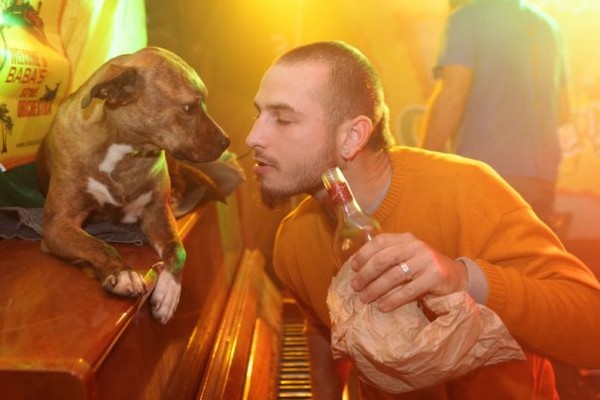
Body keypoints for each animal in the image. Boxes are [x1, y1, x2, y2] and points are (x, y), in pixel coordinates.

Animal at [36, 47, 230, 324]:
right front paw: (122, 273)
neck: (125, 155)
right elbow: (97, 244)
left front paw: (169, 292)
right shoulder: (57, 224)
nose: (227, 141)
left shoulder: (156, 213)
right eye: (189, 107)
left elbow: (178, 248)